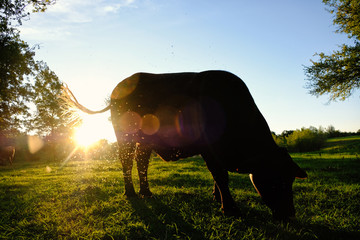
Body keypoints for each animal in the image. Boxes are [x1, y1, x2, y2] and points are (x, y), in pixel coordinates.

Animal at [63, 70, 308, 220]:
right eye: (276, 179)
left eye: (290, 179)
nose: (290, 215)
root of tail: (117, 91)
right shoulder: (209, 149)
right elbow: (220, 176)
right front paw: (230, 209)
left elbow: (217, 177)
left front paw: (216, 198)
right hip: (125, 136)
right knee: (126, 162)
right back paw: (131, 193)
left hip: (145, 141)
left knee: (141, 162)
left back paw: (147, 192)